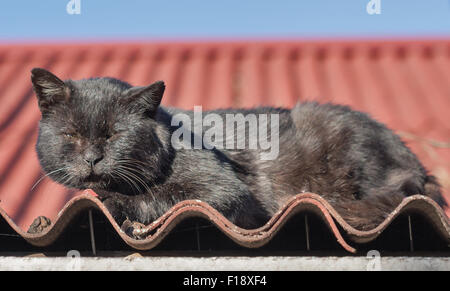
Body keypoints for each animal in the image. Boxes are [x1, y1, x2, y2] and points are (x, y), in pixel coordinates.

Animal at [29, 68, 446, 235]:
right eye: (71, 134)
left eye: (115, 134)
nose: (92, 158)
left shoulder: (224, 191)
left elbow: (156, 197)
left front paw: (119, 204)